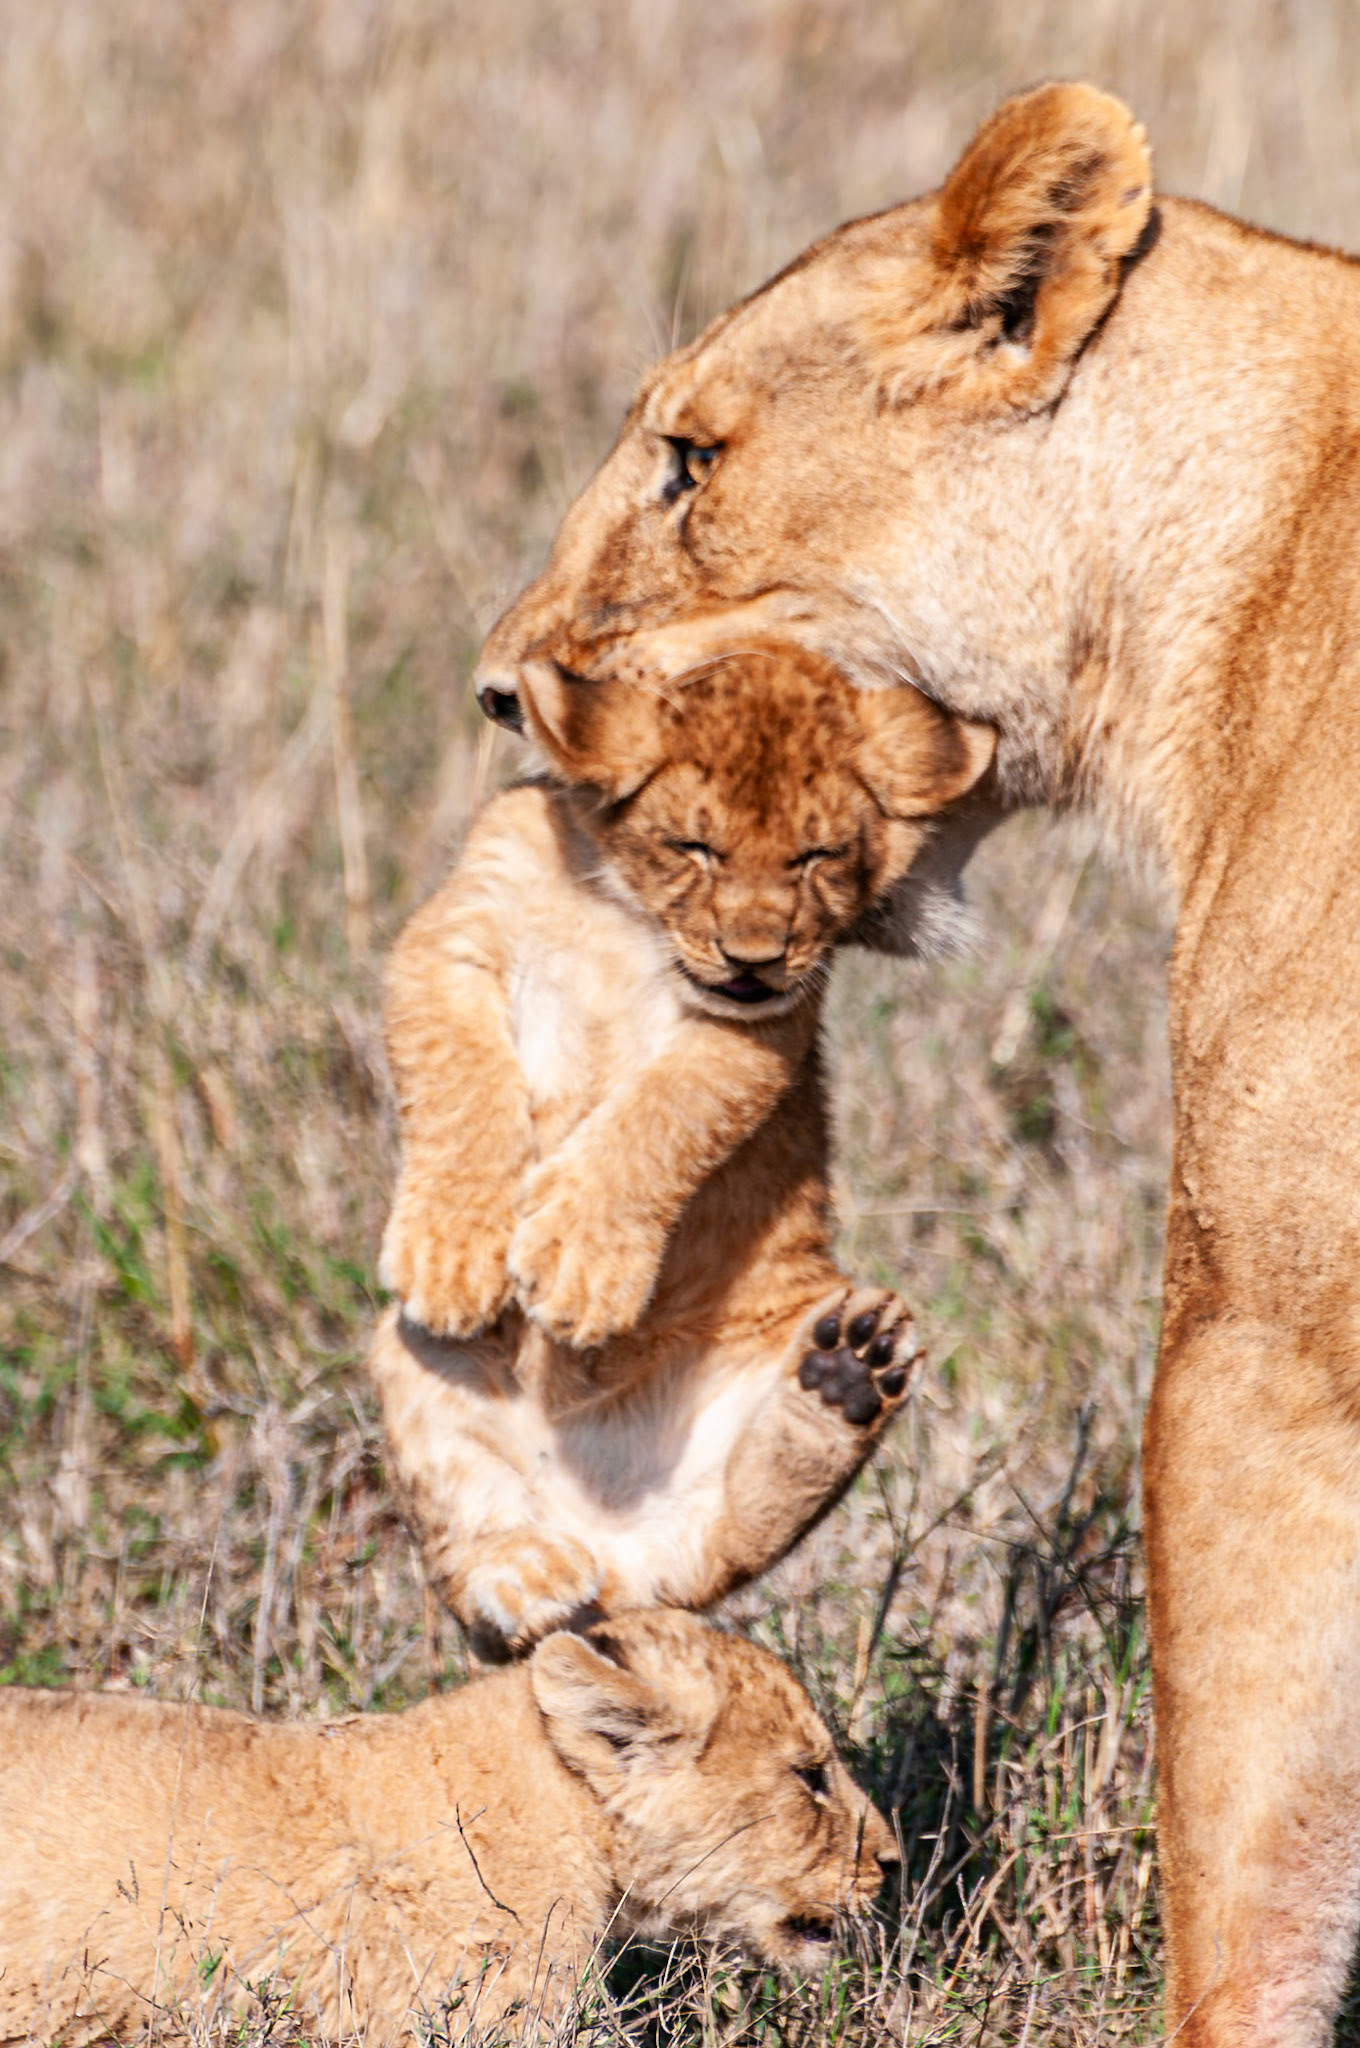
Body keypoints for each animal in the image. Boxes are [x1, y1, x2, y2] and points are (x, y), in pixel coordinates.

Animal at [372, 641, 992, 1657]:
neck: (624, 913)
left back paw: (845, 1377)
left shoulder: (759, 1031)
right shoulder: (453, 940)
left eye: (817, 856)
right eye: (695, 848)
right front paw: (453, 1257)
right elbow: (461, 1080)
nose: (754, 958)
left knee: (727, 1535)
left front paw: (578, 1268)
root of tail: (607, 1552)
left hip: (766, 1378)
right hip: (411, 1365)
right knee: (477, 1562)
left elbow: (664, 1117)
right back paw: (527, 1571)